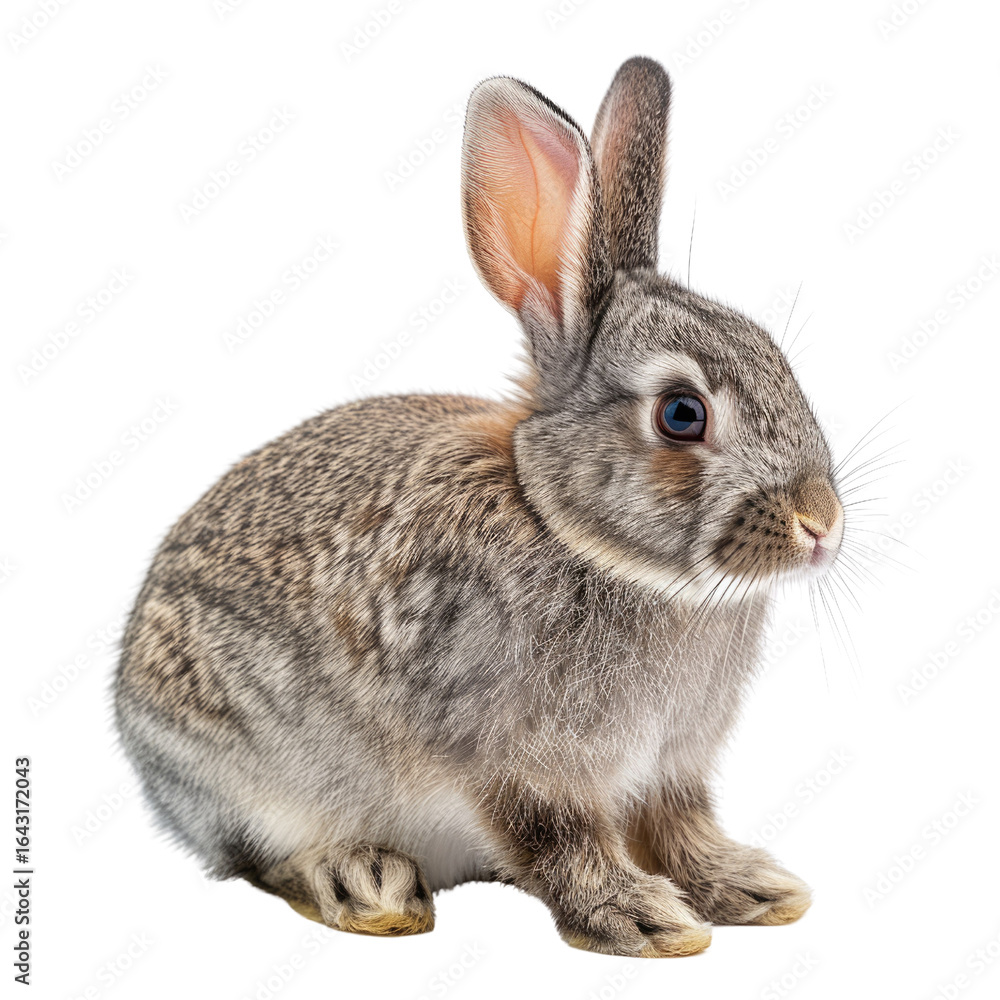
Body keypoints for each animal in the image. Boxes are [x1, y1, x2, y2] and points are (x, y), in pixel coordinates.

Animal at [114, 56, 845, 958]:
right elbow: (559, 841)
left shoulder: (668, 769)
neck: (576, 534)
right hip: (245, 777)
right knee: (262, 855)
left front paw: (749, 888)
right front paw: (640, 918)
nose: (822, 525)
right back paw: (366, 884)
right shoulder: (508, 761)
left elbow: (680, 828)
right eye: (683, 414)